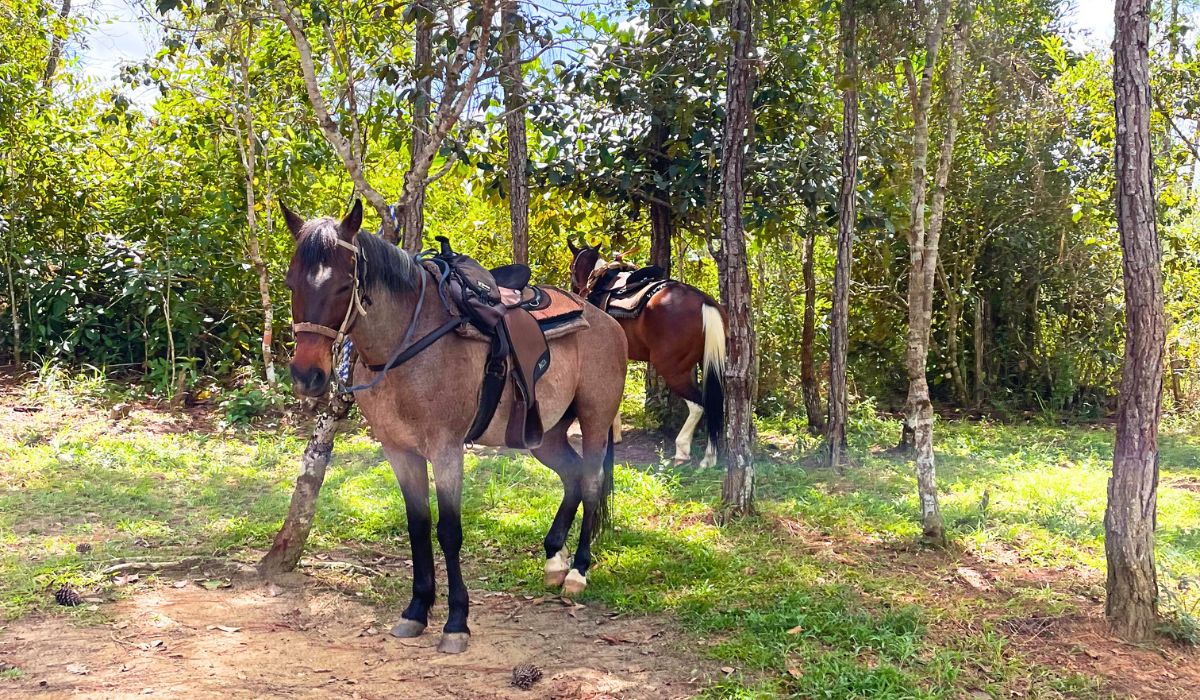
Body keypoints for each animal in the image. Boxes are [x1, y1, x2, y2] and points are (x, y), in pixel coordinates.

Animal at [283, 201, 628, 653]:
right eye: (291, 283)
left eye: (343, 286)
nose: (307, 375)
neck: (404, 346)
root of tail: (606, 320)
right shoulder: (399, 451)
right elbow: (417, 525)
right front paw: (416, 610)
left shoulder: (446, 450)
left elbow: (448, 531)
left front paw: (456, 621)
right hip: (545, 435)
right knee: (571, 477)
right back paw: (555, 559)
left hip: (595, 419)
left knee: (590, 482)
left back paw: (578, 571)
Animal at [568, 243, 724, 468]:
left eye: (572, 267)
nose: (575, 292)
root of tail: (703, 301)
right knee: (713, 405)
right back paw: (710, 456)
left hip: (672, 369)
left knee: (699, 405)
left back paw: (683, 450)